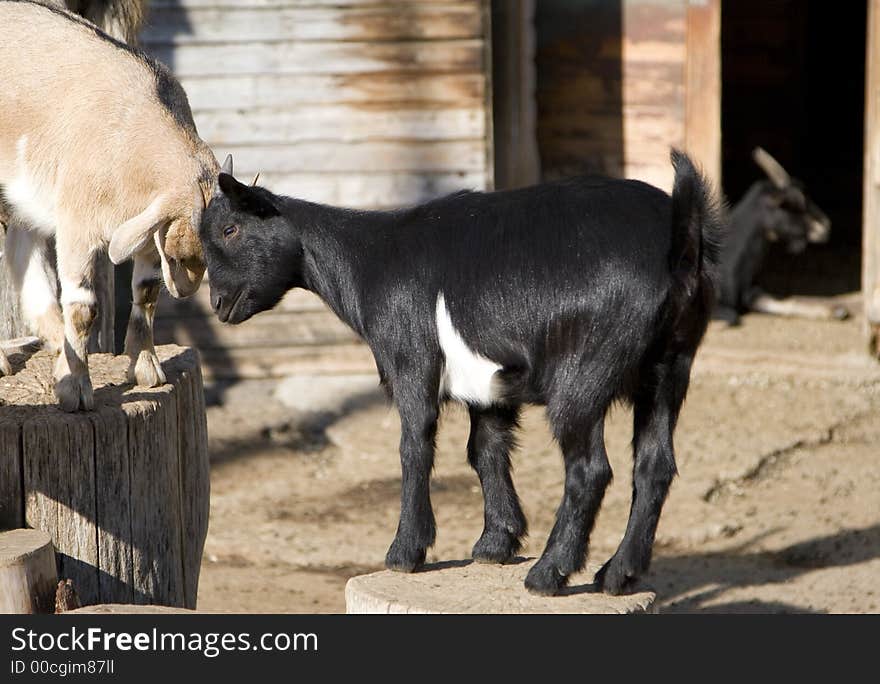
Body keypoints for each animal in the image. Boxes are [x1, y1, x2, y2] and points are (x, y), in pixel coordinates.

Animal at [0, 1, 218, 412]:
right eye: (180, 254)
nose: (187, 289)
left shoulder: (146, 228)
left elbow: (146, 290)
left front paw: (147, 369)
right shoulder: (77, 223)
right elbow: (84, 306)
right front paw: (75, 389)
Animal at [716, 146, 844, 326]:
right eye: (792, 203)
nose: (825, 226)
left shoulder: (752, 292)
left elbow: (785, 302)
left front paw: (835, 310)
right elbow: (731, 316)